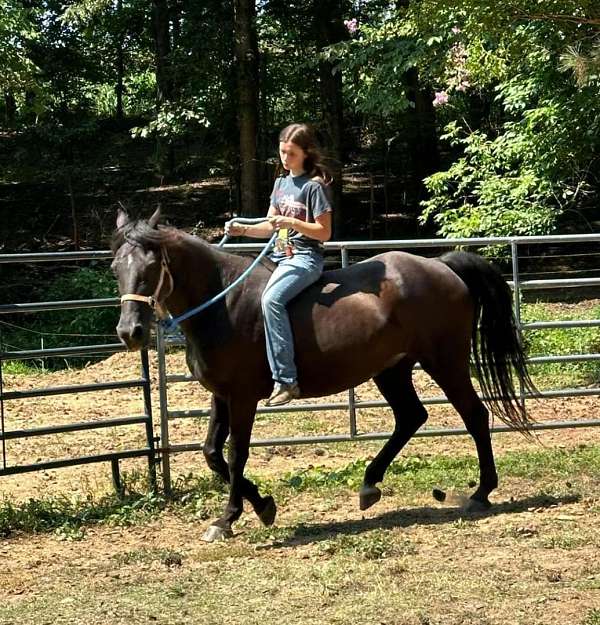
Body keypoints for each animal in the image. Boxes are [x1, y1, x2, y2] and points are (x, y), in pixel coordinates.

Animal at [111, 210, 536, 540]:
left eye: (151, 268)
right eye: (117, 268)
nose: (130, 332)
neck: (224, 303)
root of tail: (443, 265)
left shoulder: (243, 396)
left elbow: (236, 454)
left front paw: (228, 519)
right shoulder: (222, 395)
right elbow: (213, 453)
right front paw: (262, 505)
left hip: (445, 362)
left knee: (474, 415)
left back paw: (481, 493)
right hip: (392, 370)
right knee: (411, 417)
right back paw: (370, 485)